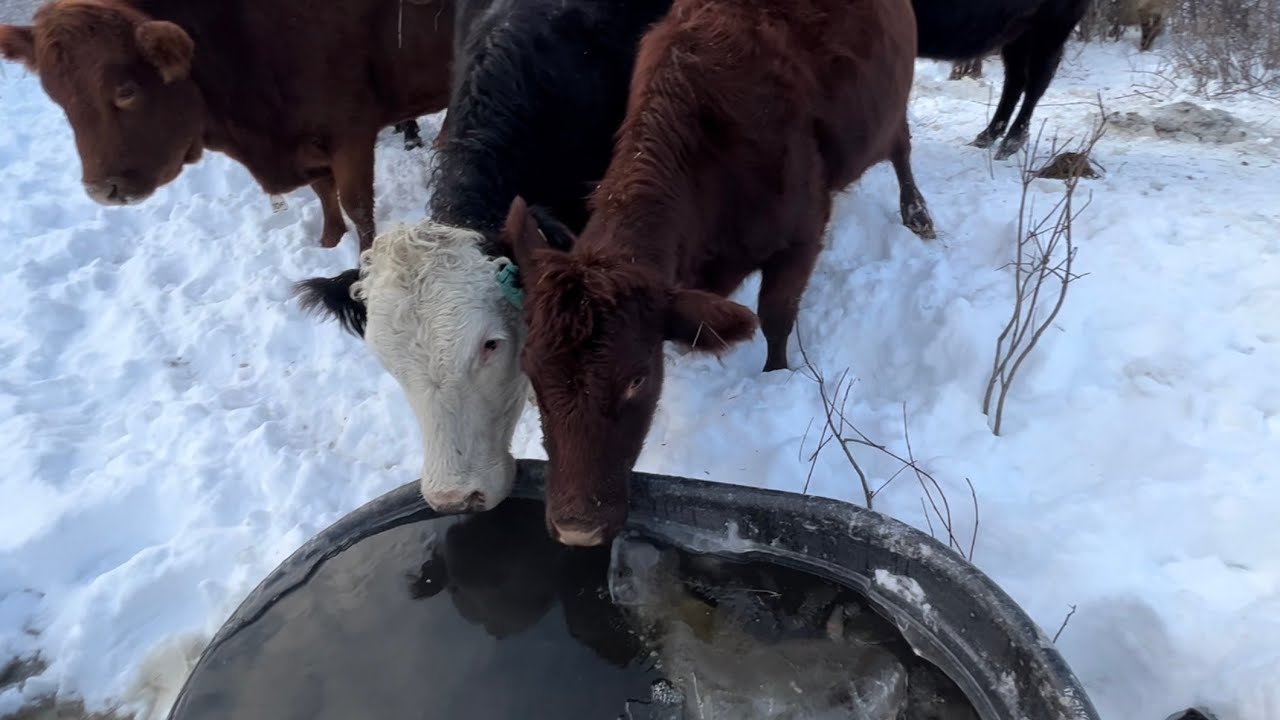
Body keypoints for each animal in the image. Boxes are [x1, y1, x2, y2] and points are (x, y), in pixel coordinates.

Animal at [0, 0, 456, 253]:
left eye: (125, 90)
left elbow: (356, 203)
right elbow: (324, 191)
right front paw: (328, 243)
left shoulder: (350, 131)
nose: (101, 190)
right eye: (55, 96)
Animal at [502, 0, 920, 545]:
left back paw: (917, 213)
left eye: (637, 379)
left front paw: (776, 376)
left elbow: (775, 316)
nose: (577, 529)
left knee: (901, 147)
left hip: (892, 108)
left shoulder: (802, 234)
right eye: (532, 376)